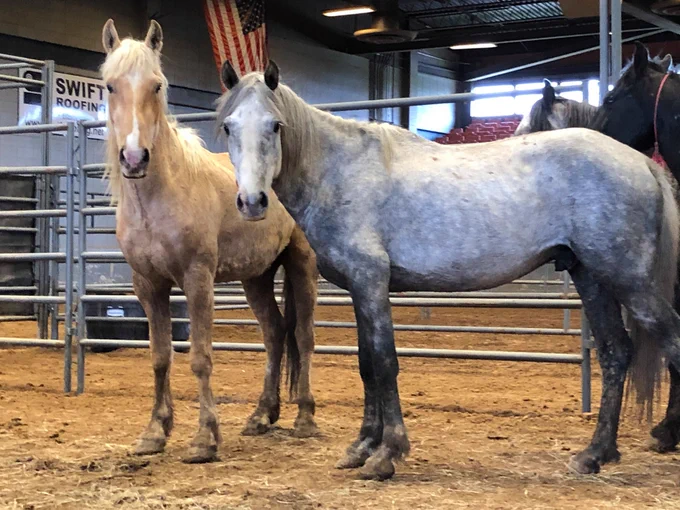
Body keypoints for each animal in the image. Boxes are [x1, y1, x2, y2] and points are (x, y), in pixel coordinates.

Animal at [99, 20, 319, 464]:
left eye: (157, 85)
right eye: (111, 86)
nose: (134, 158)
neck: (162, 195)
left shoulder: (197, 279)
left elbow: (200, 357)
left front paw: (204, 438)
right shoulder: (148, 286)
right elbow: (160, 356)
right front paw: (154, 433)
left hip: (301, 265)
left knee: (303, 336)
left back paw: (304, 418)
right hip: (256, 277)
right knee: (274, 333)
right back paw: (261, 416)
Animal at [215, 59, 680, 480]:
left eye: (276, 125)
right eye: (228, 127)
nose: (252, 202)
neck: (340, 171)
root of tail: (641, 163)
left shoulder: (371, 282)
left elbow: (384, 362)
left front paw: (387, 453)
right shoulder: (359, 288)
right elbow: (366, 364)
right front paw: (361, 447)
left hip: (630, 281)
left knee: (668, 340)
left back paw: (659, 436)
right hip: (591, 277)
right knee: (615, 352)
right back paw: (595, 454)